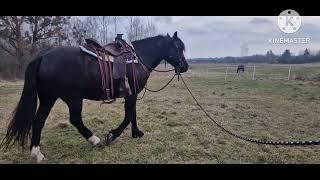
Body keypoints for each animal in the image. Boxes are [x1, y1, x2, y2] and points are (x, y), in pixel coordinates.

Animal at [1, 31, 189, 162]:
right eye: (178, 48)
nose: (185, 66)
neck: (138, 58)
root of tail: (43, 56)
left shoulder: (132, 93)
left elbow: (133, 114)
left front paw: (136, 133)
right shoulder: (131, 94)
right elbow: (128, 116)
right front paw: (112, 135)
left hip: (60, 98)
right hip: (65, 98)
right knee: (53, 120)